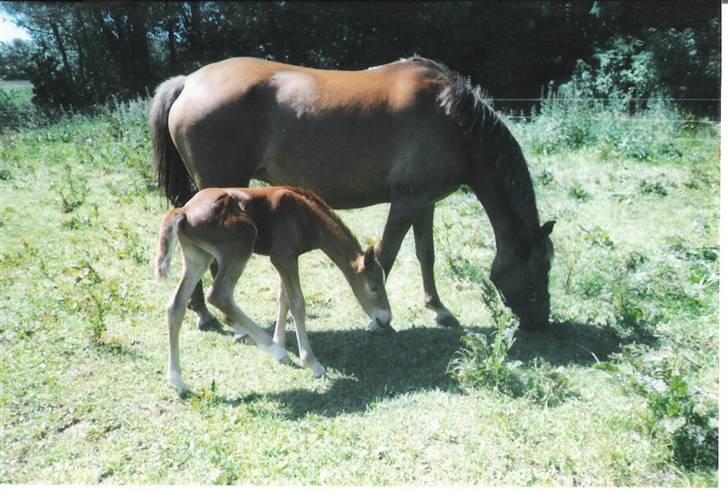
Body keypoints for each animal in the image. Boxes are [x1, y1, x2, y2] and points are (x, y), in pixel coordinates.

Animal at [150, 56, 555, 331]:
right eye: (542, 267)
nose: (542, 321)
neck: (451, 118)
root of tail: (188, 82)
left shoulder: (425, 203)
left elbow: (426, 254)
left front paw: (438, 308)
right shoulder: (405, 202)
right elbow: (387, 255)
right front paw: (378, 317)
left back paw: (202, 311)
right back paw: (213, 316)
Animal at [155, 185, 392, 392]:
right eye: (373, 287)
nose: (385, 319)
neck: (304, 214)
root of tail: (183, 210)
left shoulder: (285, 260)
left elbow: (283, 299)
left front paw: (281, 341)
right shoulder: (283, 257)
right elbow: (297, 304)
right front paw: (310, 362)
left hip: (198, 257)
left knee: (175, 305)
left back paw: (177, 381)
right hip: (240, 244)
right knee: (219, 295)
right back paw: (275, 350)